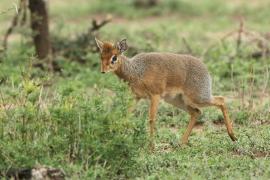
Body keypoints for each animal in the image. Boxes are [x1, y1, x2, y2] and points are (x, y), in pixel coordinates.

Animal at [95, 37, 236, 148]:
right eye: (101, 56)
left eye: (114, 57)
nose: (103, 71)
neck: (136, 71)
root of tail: (205, 69)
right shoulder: (136, 97)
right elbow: (126, 115)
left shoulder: (155, 95)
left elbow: (152, 119)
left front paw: (151, 147)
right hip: (178, 101)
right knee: (196, 112)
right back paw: (182, 143)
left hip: (198, 97)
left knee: (221, 100)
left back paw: (233, 136)